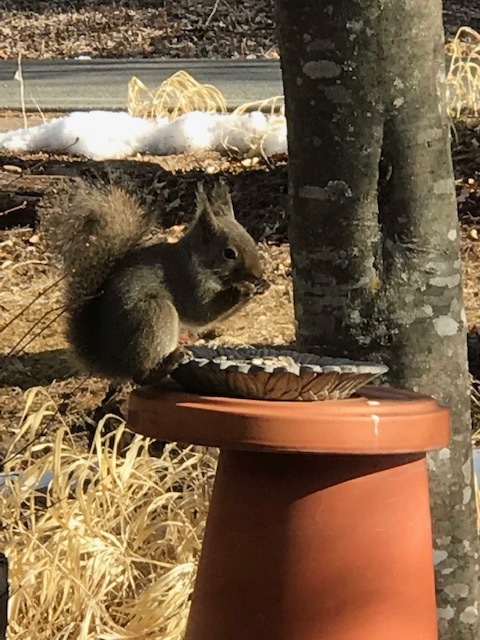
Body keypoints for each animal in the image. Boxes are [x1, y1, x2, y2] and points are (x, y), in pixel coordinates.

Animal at [55, 179, 270, 384]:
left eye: (250, 238)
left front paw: (262, 285)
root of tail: (110, 363)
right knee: (141, 375)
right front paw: (242, 288)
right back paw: (170, 361)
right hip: (154, 313)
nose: (257, 274)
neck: (196, 260)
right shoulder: (186, 281)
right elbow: (201, 313)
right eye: (229, 253)